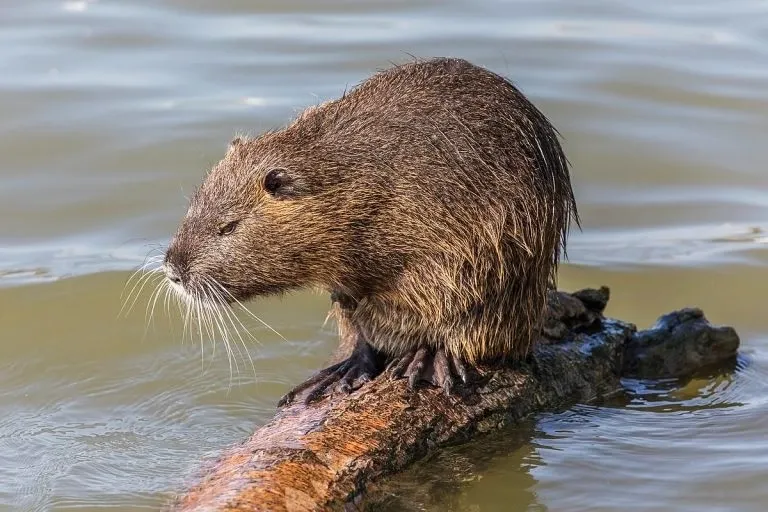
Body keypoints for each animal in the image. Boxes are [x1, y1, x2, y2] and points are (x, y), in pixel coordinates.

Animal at [163, 57, 578, 405]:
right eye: (194, 204)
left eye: (227, 226)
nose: (172, 269)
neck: (355, 177)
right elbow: (354, 313)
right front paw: (344, 369)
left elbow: (455, 297)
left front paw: (430, 356)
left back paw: (427, 360)